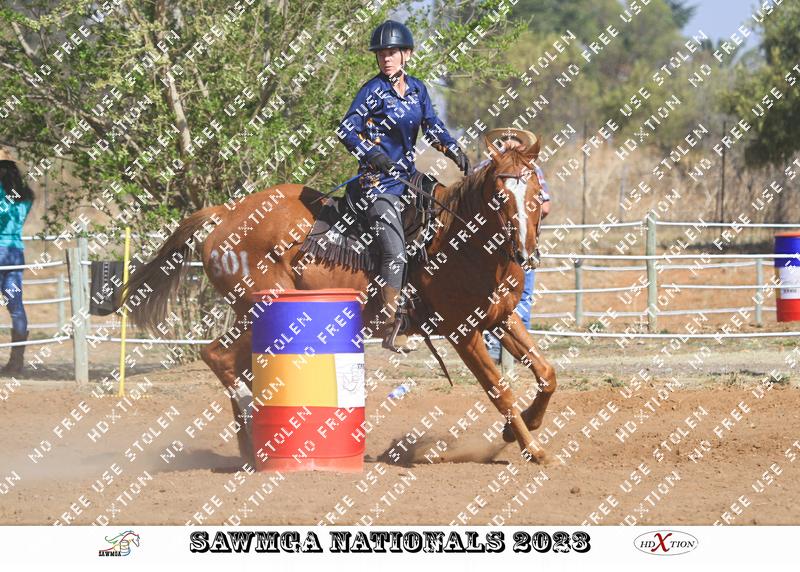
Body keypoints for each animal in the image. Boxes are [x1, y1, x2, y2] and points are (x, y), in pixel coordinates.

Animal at [123, 141, 557, 464]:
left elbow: (546, 373)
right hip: (261, 308)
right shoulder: (464, 333)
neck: (457, 240)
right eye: (500, 196)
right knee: (218, 357)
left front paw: (523, 428)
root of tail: (225, 213)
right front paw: (533, 449)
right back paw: (252, 444)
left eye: (536, 193)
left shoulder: (502, 318)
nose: (525, 252)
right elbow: (499, 390)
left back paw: (251, 447)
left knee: (233, 362)